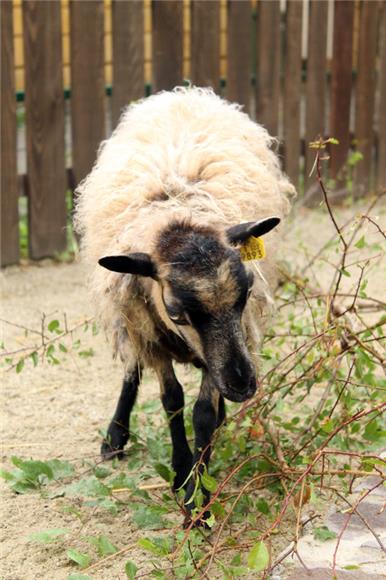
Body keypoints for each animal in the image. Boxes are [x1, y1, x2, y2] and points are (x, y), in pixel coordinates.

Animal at [74, 85, 296, 524]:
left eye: (246, 294)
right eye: (176, 312)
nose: (243, 386)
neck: (177, 213)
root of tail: (184, 94)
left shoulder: (222, 349)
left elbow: (202, 414)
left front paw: (199, 498)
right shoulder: (154, 332)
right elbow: (172, 401)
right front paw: (181, 473)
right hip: (131, 321)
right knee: (132, 366)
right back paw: (115, 435)